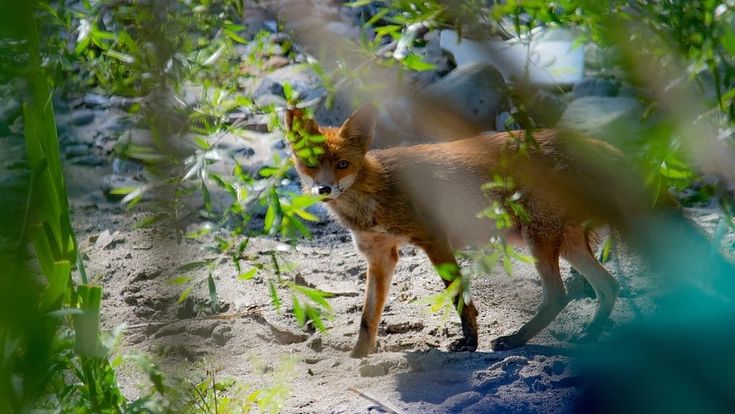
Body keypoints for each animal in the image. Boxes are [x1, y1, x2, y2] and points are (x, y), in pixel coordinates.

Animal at [284, 104, 627, 358]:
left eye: (342, 164)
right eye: (311, 163)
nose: (324, 189)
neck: (376, 194)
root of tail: (595, 145)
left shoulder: (434, 239)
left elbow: (459, 297)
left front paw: (469, 344)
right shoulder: (380, 256)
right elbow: (368, 318)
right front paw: (359, 356)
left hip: (539, 240)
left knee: (558, 295)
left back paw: (515, 340)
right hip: (568, 244)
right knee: (609, 286)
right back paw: (588, 338)